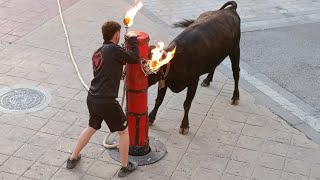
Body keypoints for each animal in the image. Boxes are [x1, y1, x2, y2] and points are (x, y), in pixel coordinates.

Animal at [148, 0, 240, 134]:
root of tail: (230, 10)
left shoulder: (193, 82)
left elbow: (187, 104)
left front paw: (184, 125)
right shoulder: (163, 81)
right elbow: (159, 100)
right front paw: (150, 118)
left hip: (235, 50)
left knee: (236, 72)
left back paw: (235, 97)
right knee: (215, 65)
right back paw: (207, 80)